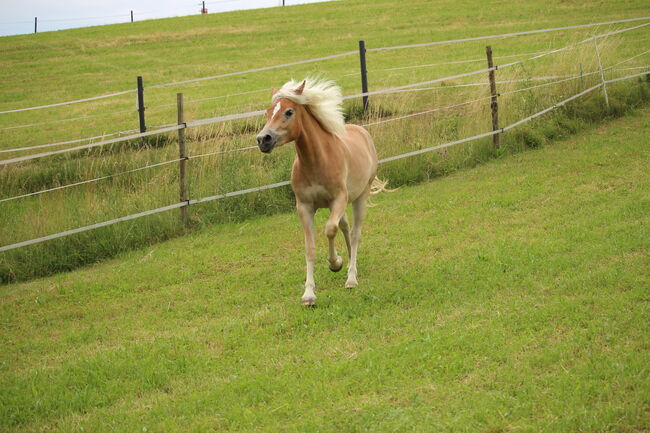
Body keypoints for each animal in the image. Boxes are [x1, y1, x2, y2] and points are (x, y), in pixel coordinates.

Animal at [253, 78, 384, 308]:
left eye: (288, 112)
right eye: (267, 112)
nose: (263, 139)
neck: (317, 160)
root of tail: (363, 132)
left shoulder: (337, 200)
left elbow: (330, 230)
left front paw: (335, 263)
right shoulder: (304, 207)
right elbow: (310, 248)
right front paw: (308, 295)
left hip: (360, 197)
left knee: (355, 233)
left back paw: (351, 277)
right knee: (346, 227)